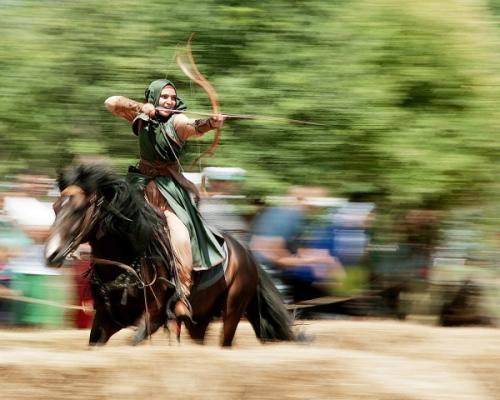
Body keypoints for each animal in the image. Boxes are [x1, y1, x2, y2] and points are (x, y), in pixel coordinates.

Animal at [44, 164, 296, 346]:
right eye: (55, 207)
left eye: (78, 210)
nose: (51, 254)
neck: (128, 259)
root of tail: (247, 254)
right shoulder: (105, 320)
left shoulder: (153, 318)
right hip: (199, 320)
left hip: (233, 311)